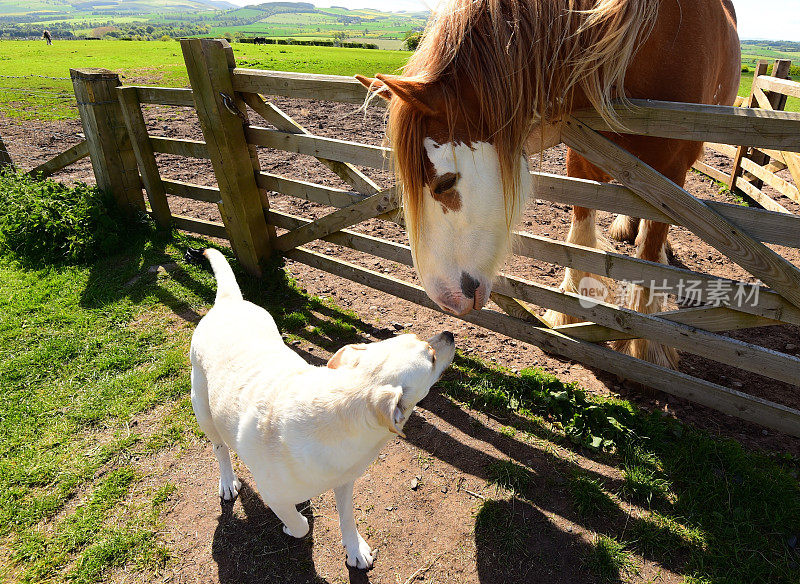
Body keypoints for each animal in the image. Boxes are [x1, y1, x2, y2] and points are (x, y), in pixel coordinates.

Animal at [184, 249, 454, 568]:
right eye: (432, 357)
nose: (449, 333)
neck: (338, 416)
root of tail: (229, 302)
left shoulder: (345, 480)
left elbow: (347, 517)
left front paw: (355, 549)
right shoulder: (274, 495)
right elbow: (300, 526)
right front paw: (292, 526)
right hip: (203, 409)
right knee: (219, 448)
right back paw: (228, 481)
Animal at [360, 0, 740, 364]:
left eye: (444, 183)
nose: (444, 298)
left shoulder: (671, 169)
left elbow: (648, 249)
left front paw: (645, 344)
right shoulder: (583, 152)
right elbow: (581, 238)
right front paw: (569, 312)